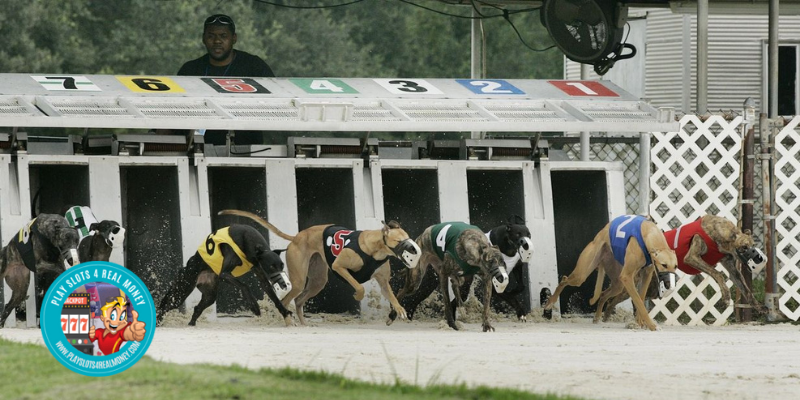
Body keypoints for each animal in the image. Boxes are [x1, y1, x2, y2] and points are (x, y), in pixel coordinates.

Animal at [156, 223, 290, 326]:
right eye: (271, 266)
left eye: (282, 265)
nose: (284, 284)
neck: (247, 239)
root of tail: (185, 267)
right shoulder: (224, 274)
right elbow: (244, 285)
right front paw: (254, 306)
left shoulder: (259, 272)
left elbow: (272, 294)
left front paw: (285, 312)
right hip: (181, 291)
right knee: (164, 306)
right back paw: (158, 322)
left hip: (209, 295)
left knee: (198, 308)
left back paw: (191, 324)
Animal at [216, 208, 422, 326]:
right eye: (399, 241)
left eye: (408, 236)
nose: (414, 249)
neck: (374, 249)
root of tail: (296, 237)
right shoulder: (339, 266)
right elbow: (359, 286)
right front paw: (357, 295)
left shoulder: (383, 282)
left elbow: (392, 295)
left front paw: (399, 310)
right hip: (300, 279)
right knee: (286, 300)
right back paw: (287, 321)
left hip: (318, 280)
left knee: (299, 300)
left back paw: (303, 323)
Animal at [540, 216, 680, 332]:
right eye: (664, 265)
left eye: (676, 266)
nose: (670, 283)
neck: (650, 232)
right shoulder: (627, 277)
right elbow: (639, 302)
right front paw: (652, 325)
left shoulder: (646, 274)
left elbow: (640, 299)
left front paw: (639, 323)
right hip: (582, 274)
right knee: (565, 279)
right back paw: (550, 303)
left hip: (618, 284)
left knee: (603, 295)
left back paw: (597, 317)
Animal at [596, 214, 764, 320]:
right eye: (744, 247)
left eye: (753, 245)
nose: (758, 259)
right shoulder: (692, 257)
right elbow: (718, 274)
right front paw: (726, 297)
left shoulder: (733, 269)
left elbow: (746, 290)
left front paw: (759, 307)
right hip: (633, 283)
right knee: (608, 297)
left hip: (648, 287)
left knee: (618, 300)